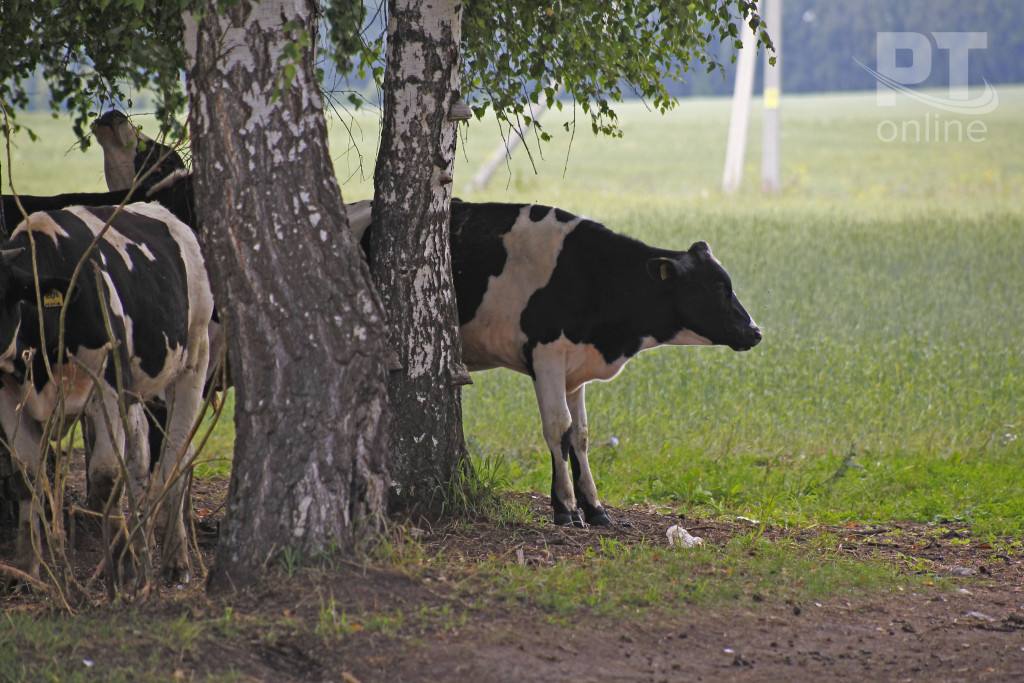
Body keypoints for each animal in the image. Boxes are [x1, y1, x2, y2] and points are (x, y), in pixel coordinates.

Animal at [0, 200, 211, 581]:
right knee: (140, 459)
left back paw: (174, 559)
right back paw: (142, 547)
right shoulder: (8, 394)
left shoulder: (109, 384)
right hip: (137, 388)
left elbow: (106, 475)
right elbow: (27, 474)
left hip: (194, 358)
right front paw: (26, 567)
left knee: (176, 455)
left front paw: (123, 567)